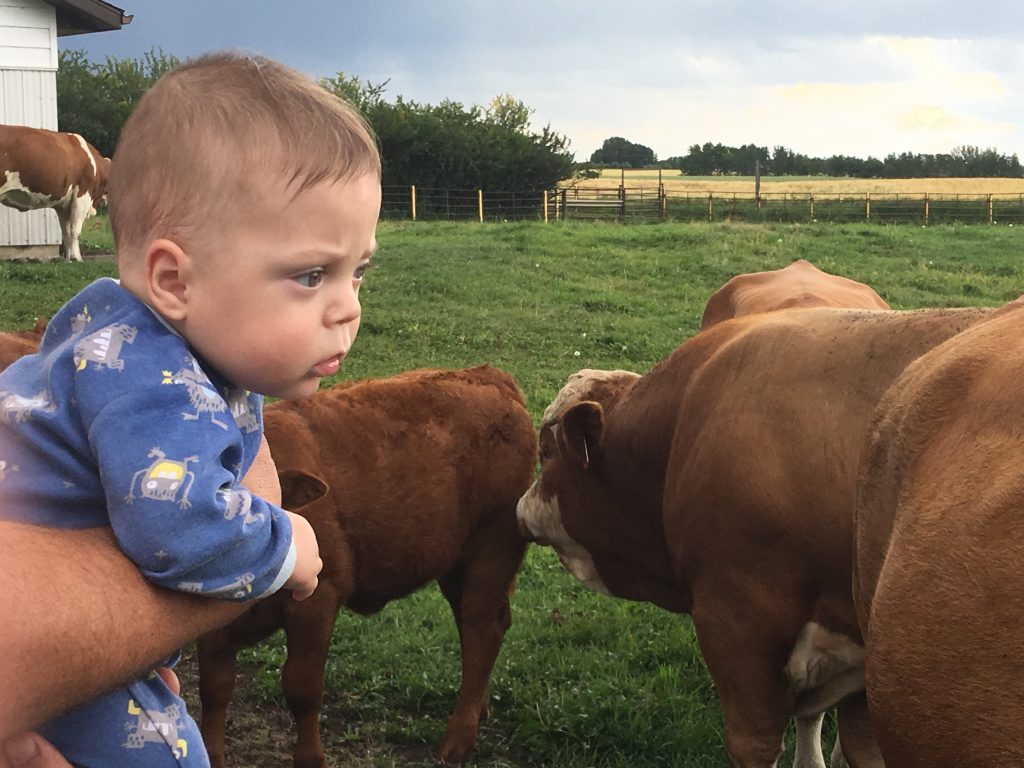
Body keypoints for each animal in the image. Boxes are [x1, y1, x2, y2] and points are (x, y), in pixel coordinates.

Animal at [0, 123, 111, 262]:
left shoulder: (64, 206)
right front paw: (78, 258)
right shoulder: (82, 196)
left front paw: (68, 260)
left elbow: (66, 232)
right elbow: (75, 231)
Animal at [195, 366, 540, 768]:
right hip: (457, 564)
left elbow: (301, 687)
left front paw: (311, 758)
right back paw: (477, 708)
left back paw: (458, 740)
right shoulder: (211, 634)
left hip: (493, 548)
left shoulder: (317, 601)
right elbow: (214, 689)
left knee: (483, 627)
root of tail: (488, 375)